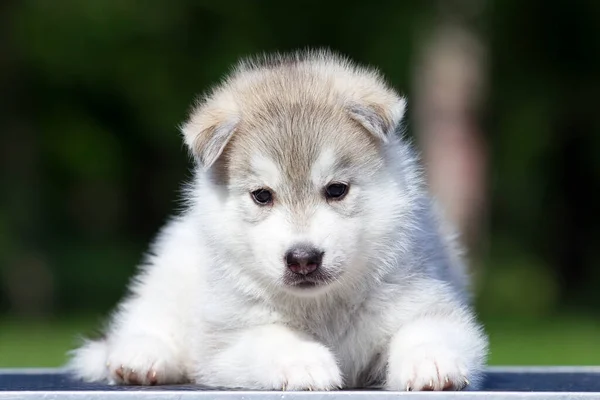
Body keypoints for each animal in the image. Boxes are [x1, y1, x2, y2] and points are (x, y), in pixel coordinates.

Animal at [69, 49, 488, 390]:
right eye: (262, 196)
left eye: (336, 190)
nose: (303, 259)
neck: (321, 307)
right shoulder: (226, 341)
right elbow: (271, 337)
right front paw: (304, 363)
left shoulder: (428, 300)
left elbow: (426, 330)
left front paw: (430, 363)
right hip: (173, 266)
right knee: (148, 317)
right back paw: (141, 358)